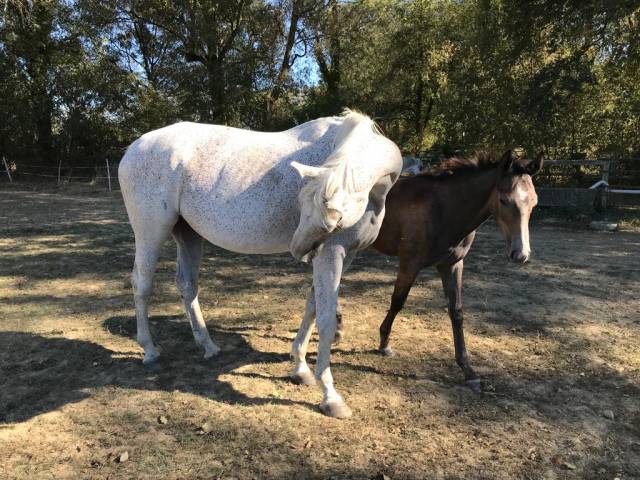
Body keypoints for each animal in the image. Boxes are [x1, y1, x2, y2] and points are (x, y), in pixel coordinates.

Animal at [117, 109, 402, 416]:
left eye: (335, 217)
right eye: (302, 202)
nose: (298, 249)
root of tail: (132, 149)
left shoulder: (344, 255)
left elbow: (312, 307)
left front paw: (300, 369)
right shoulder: (331, 253)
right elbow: (325, 320)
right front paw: (330, 396)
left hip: (188, 234)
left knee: (187, 285)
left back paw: (208, 346)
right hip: (151, 230)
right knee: (142, 284)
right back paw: (149, 350)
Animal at [338, 150, 544, 390]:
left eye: (534, 202)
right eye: (504, 200)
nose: (520, 254)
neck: (442, 209)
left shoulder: (452, 265)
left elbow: (456, 311)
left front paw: (468, 370)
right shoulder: (409, 263)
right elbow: (398, 302)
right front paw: (384, 343)